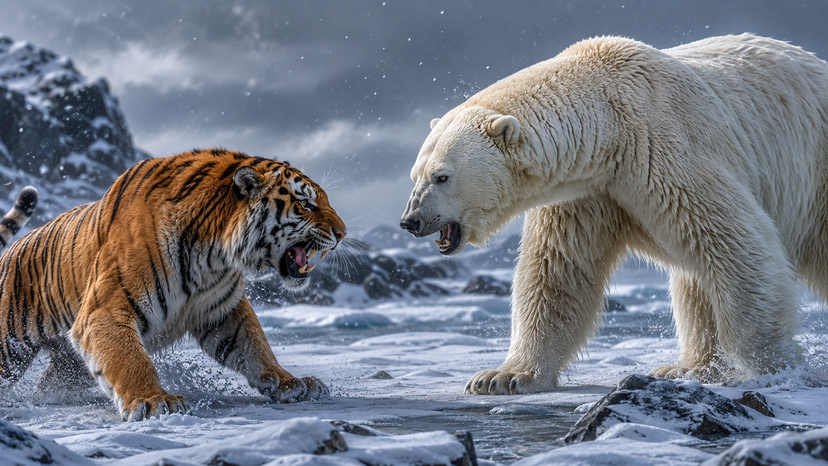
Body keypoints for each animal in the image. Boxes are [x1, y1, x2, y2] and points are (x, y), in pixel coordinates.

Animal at [0, 149, 346, 421]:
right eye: (305, 204)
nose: (342, 233)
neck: (213, 255)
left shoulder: (224, 310)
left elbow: (256, 347)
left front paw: (290, 382)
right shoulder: (106, 309)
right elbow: (130, 359)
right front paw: (153, 401)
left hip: (69, 365)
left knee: (49, 385)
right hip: (9, 348)